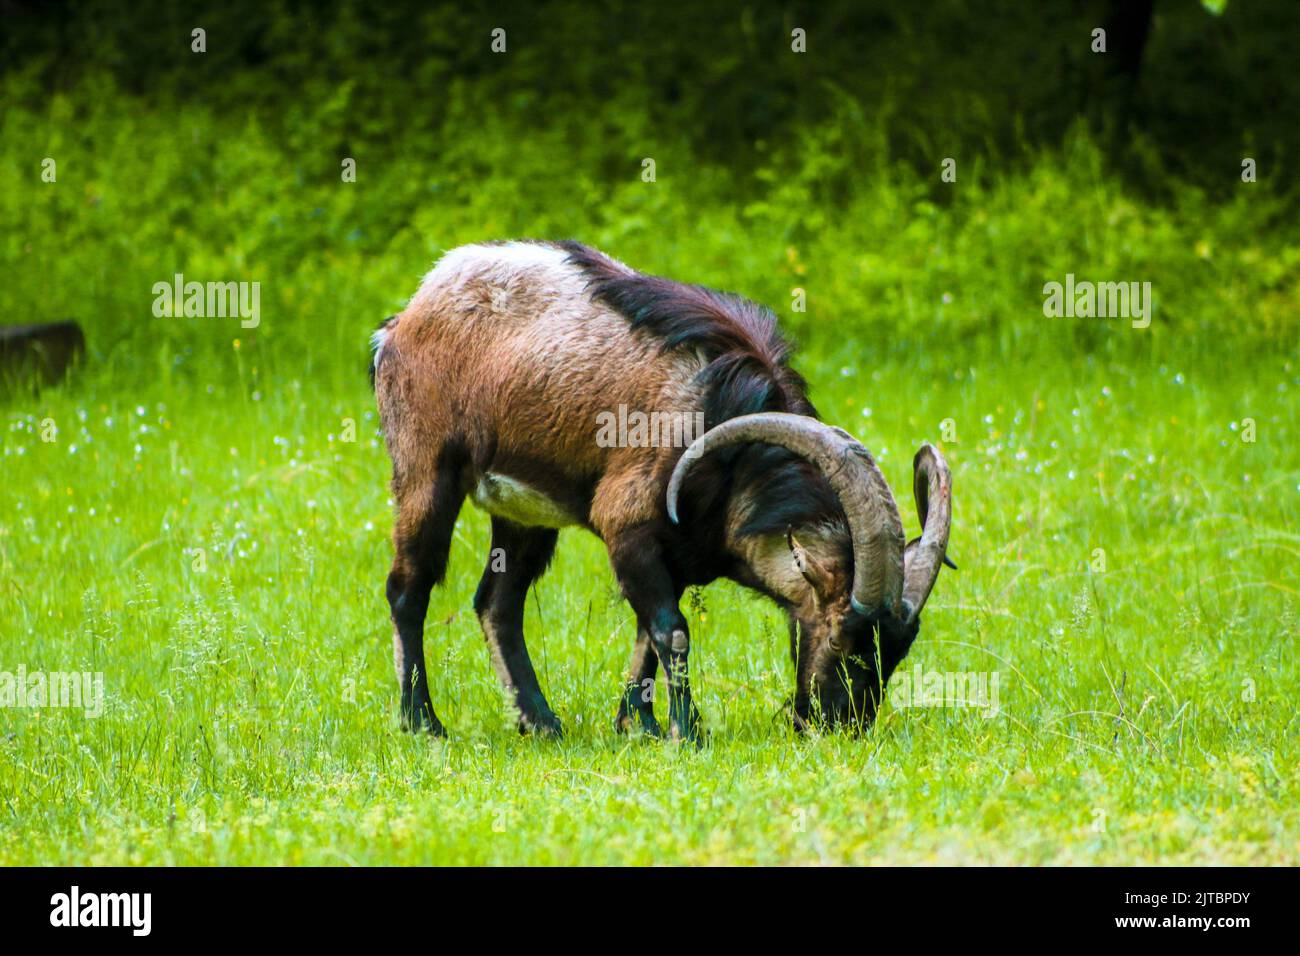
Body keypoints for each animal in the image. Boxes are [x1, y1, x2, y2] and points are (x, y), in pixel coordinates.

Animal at [372, 240, 953, 742]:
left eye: (897, 651)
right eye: (842, 639)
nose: (840, 725)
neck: (714, 418)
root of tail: (402, 322)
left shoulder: (678, 552)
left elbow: (647, 634)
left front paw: (639, 724)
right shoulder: (627, 523)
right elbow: (671, 629)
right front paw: (686, 733)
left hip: (524, 514)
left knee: (497, 602)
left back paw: (540, 721)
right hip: (427, 471)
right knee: (409, 587)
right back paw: (422, 722)